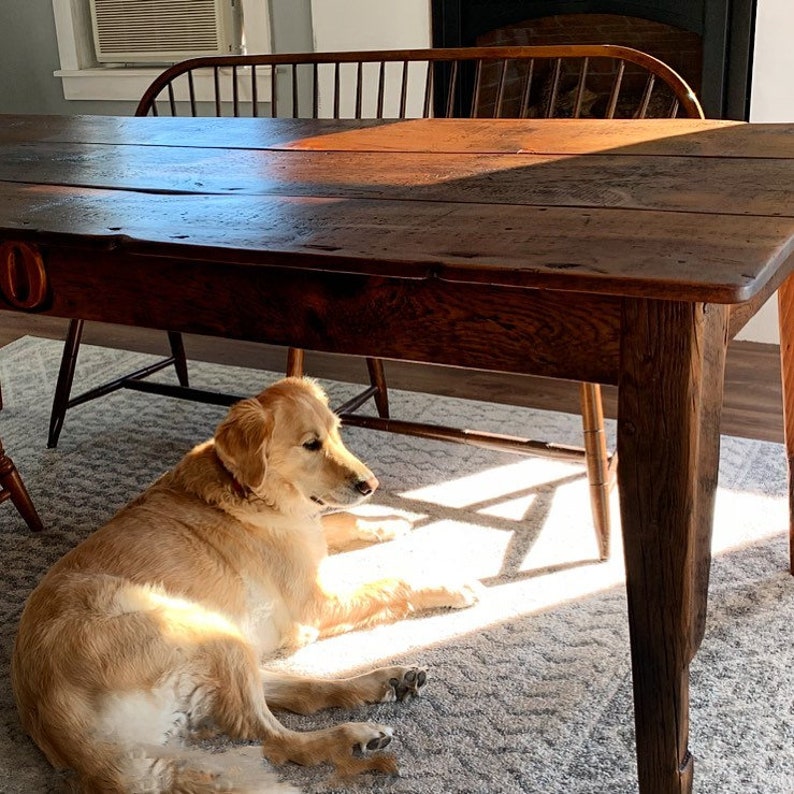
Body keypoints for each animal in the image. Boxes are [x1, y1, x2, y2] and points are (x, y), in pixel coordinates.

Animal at [12, 378, 476, 792]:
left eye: (337, 431)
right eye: (311, 444)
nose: (371, 485)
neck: (253, 491)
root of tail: (64, 731)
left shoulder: (309, 534)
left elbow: (342, 520)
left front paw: (393, 521)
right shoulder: (314, 605)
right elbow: (393, 582)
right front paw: (451, 586)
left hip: (232, 648)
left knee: (303, 692)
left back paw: (386, 680)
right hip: (214, 636)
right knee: (278, 739)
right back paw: (351, 735)